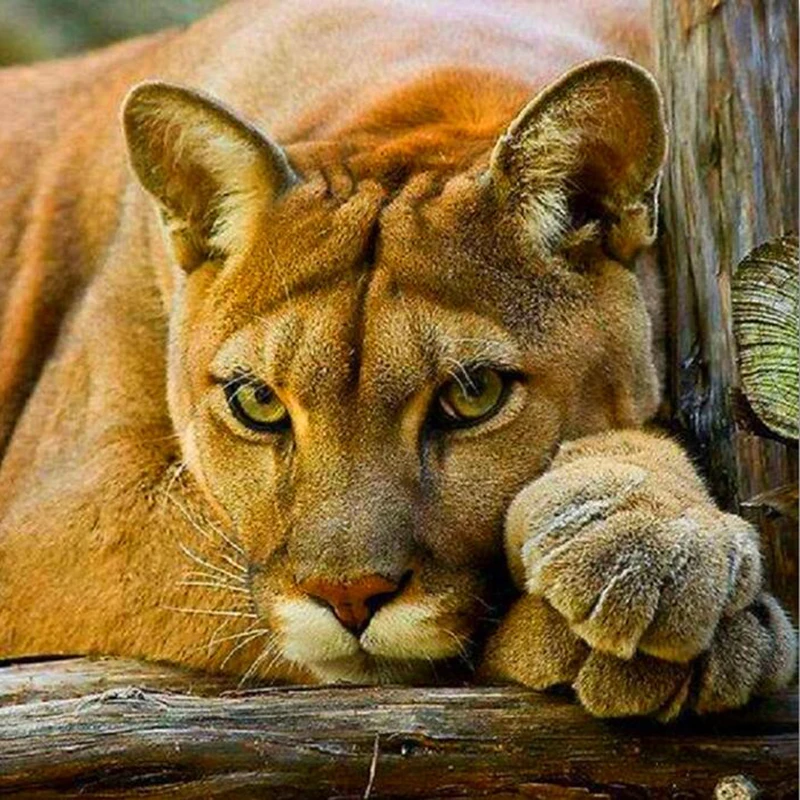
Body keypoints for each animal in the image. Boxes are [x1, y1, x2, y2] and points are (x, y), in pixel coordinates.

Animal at [0, 0, 795, 720]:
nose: (349, 597)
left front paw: (648, 529)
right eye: (257, 402)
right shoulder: (62, 508)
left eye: (473, 395)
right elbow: (221, 577)